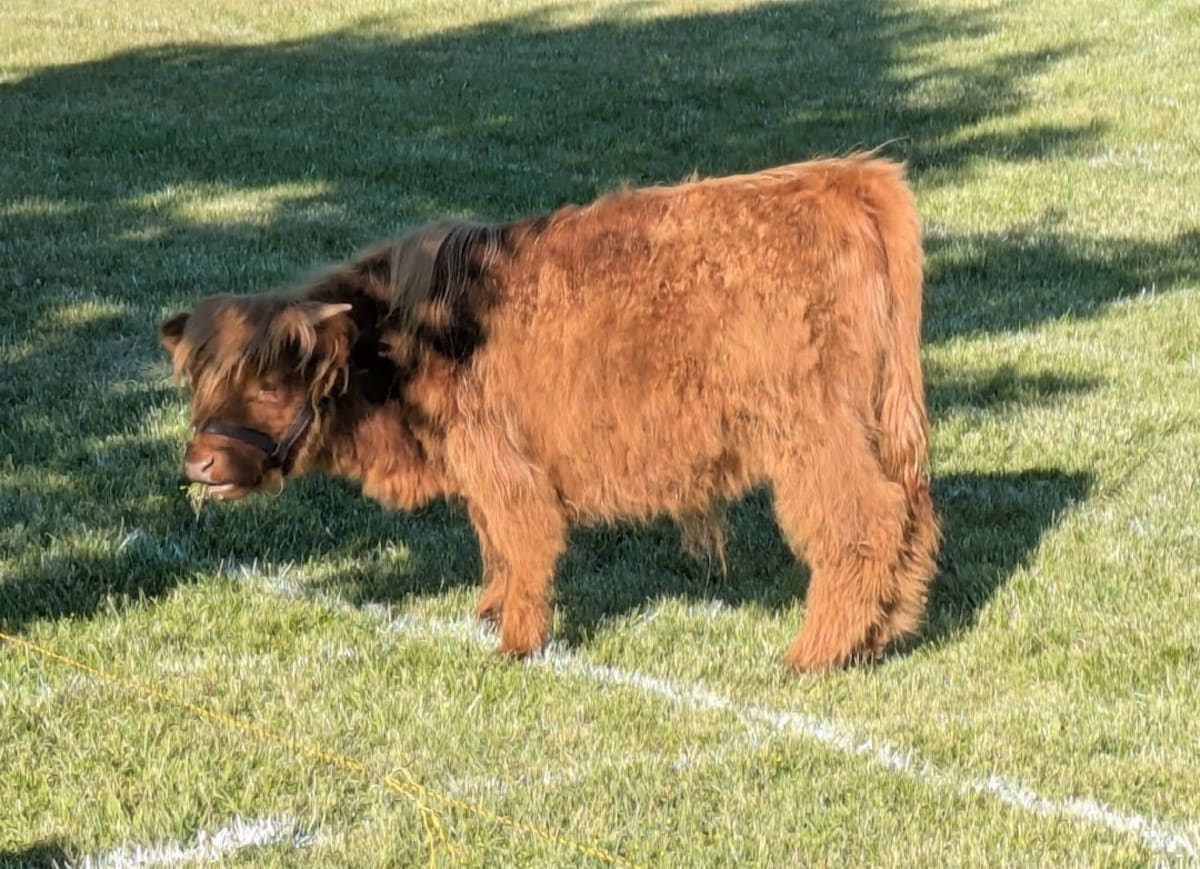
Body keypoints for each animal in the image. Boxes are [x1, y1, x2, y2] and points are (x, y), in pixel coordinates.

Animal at [161, 156, 939, 671]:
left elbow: (521, 539)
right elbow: (494, 541)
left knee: (861, 520)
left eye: (269, 383)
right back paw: (882, 634)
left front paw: (515, 641)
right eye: (202, 386)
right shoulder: (480, 467)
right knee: (910, 516)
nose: (198, 460)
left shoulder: (503, 464)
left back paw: (815, 652)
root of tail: (843, 179)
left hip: (811, 431)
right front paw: (486, 610)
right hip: (871, 420)